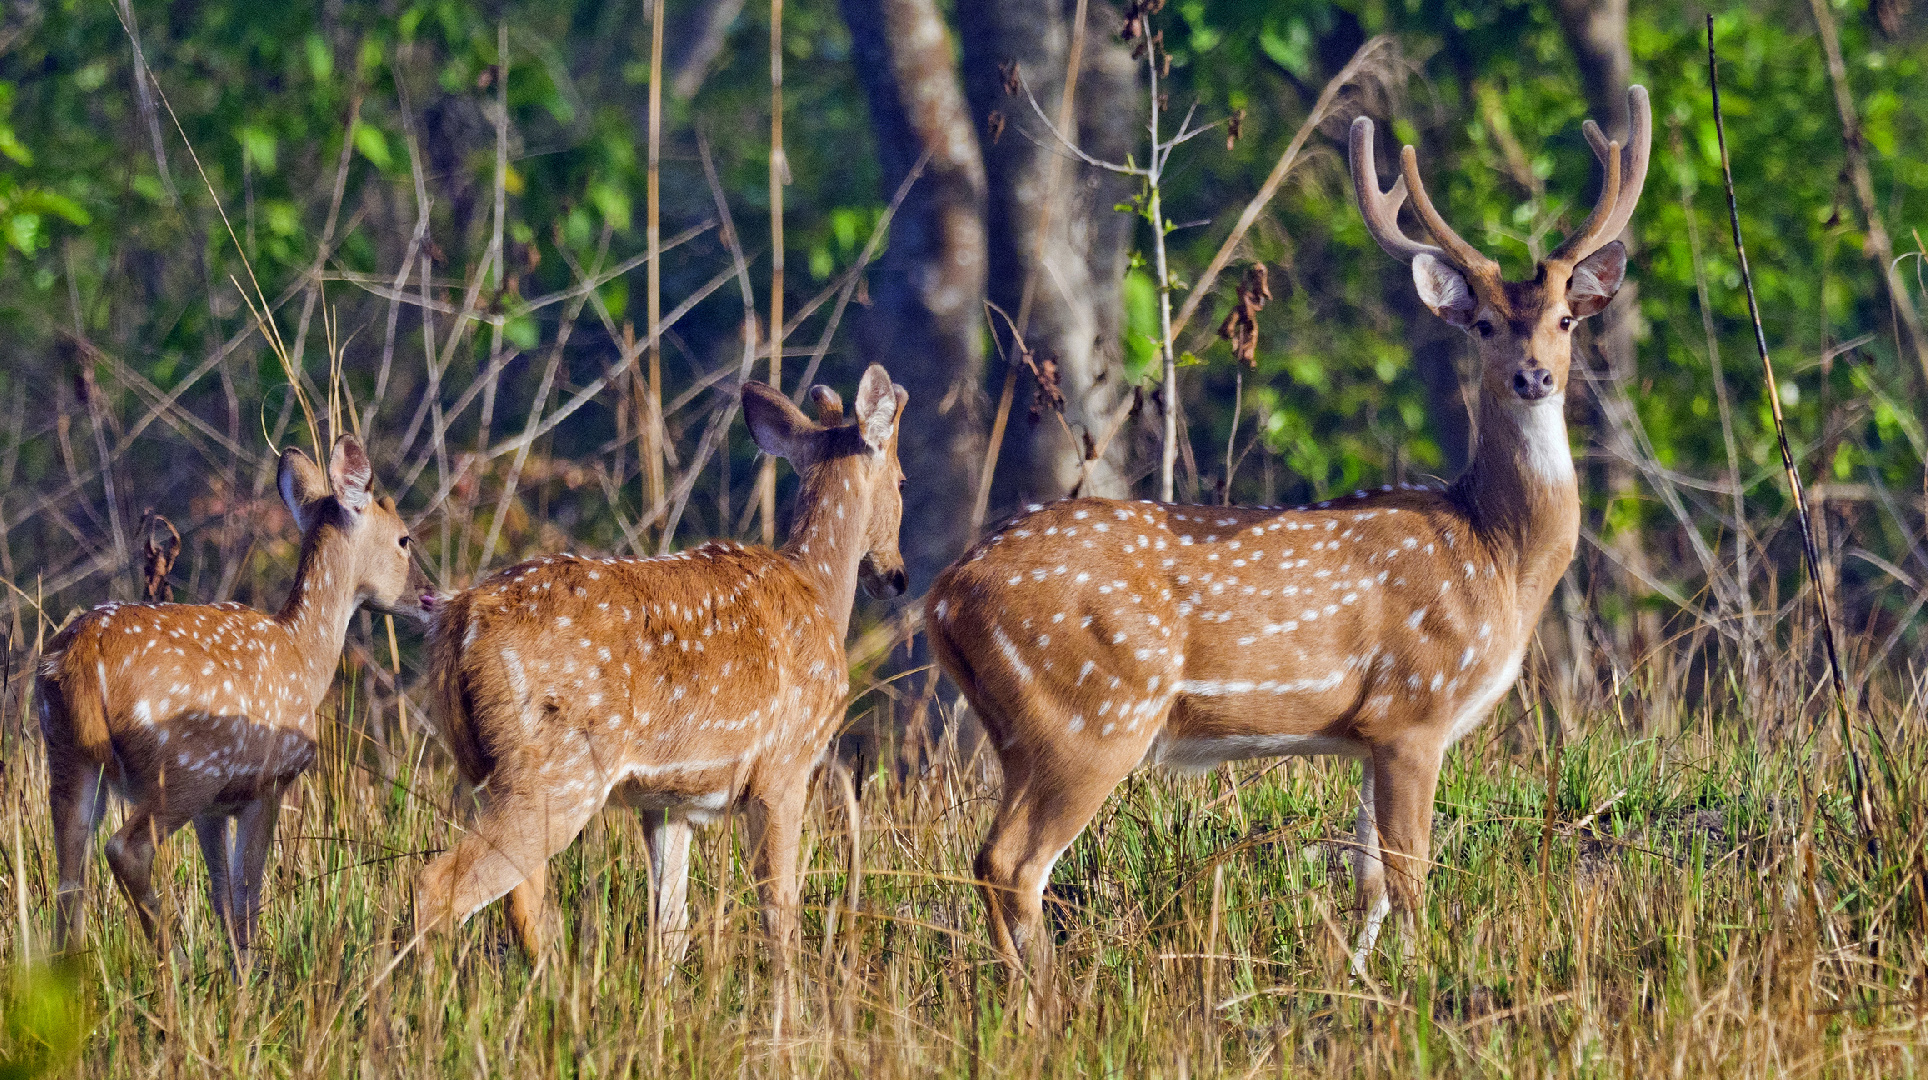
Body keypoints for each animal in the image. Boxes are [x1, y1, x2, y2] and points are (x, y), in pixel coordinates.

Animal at [36, 433, 429, 956]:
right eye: (404, 538)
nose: (428, 596)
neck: (304, 655)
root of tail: (82, 657)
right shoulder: (269, 780)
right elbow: (246, 897)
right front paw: (251, 970)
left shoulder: (215, 807)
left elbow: (221, 896)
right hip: (185, 768)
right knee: (124, 850)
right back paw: (176, 964)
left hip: (68, 759)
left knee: (67, 886)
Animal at [410, 360, 906, 972]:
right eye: (903, 482)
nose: (896, 575)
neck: (818, 588)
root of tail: (459, 618)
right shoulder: (784, 767)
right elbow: (780, 914)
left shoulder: (669, 804)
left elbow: (670, 928)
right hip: (560, 765)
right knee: (442, 884)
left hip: (484, 766)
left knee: (519, 900)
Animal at [925, 88, 1650, 975]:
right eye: (1481, 324)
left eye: (1564, 321)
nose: (1533, 376)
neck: (1496, 556)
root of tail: (944, 594)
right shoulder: (1413, 707)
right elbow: (1411, 871)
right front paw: (1428, 978)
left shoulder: (1368, 734)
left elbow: (1369, 881)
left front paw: (1360, 981)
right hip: (1092, 715)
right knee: (1013, 862)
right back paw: (1048, 993)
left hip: (1019, 729)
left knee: (987, 857)